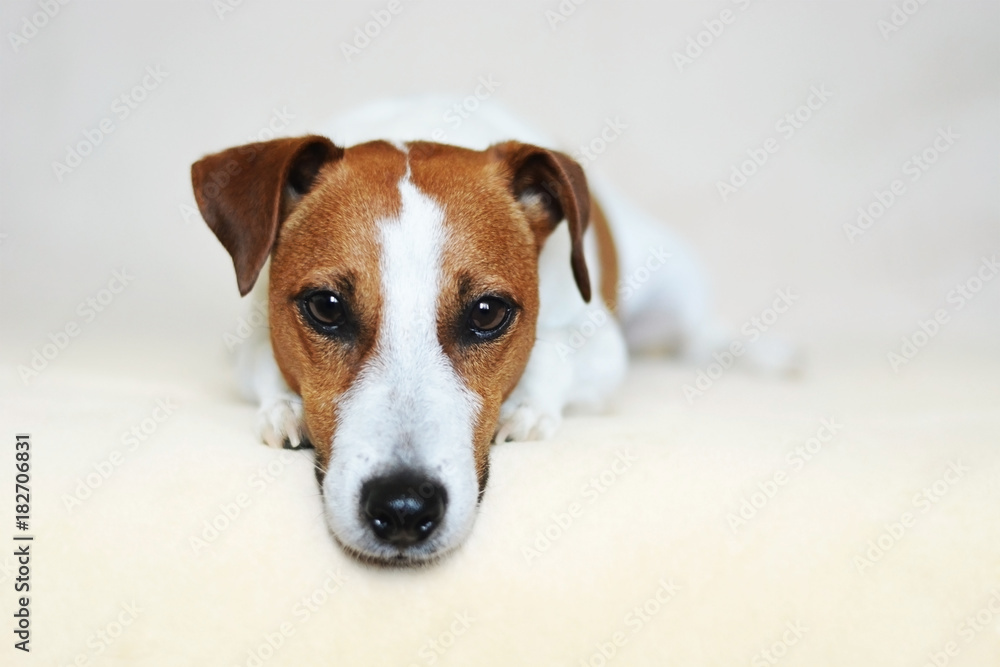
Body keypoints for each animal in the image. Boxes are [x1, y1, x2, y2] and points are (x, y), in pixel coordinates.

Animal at [193, 95, 744, 564]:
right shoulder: (247, 339)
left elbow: (553, 353)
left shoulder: (602, 344)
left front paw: (525, 408)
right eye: (326, 308)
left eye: (486, 313)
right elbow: (264, 360)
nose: (403, 508)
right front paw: (287, 409)